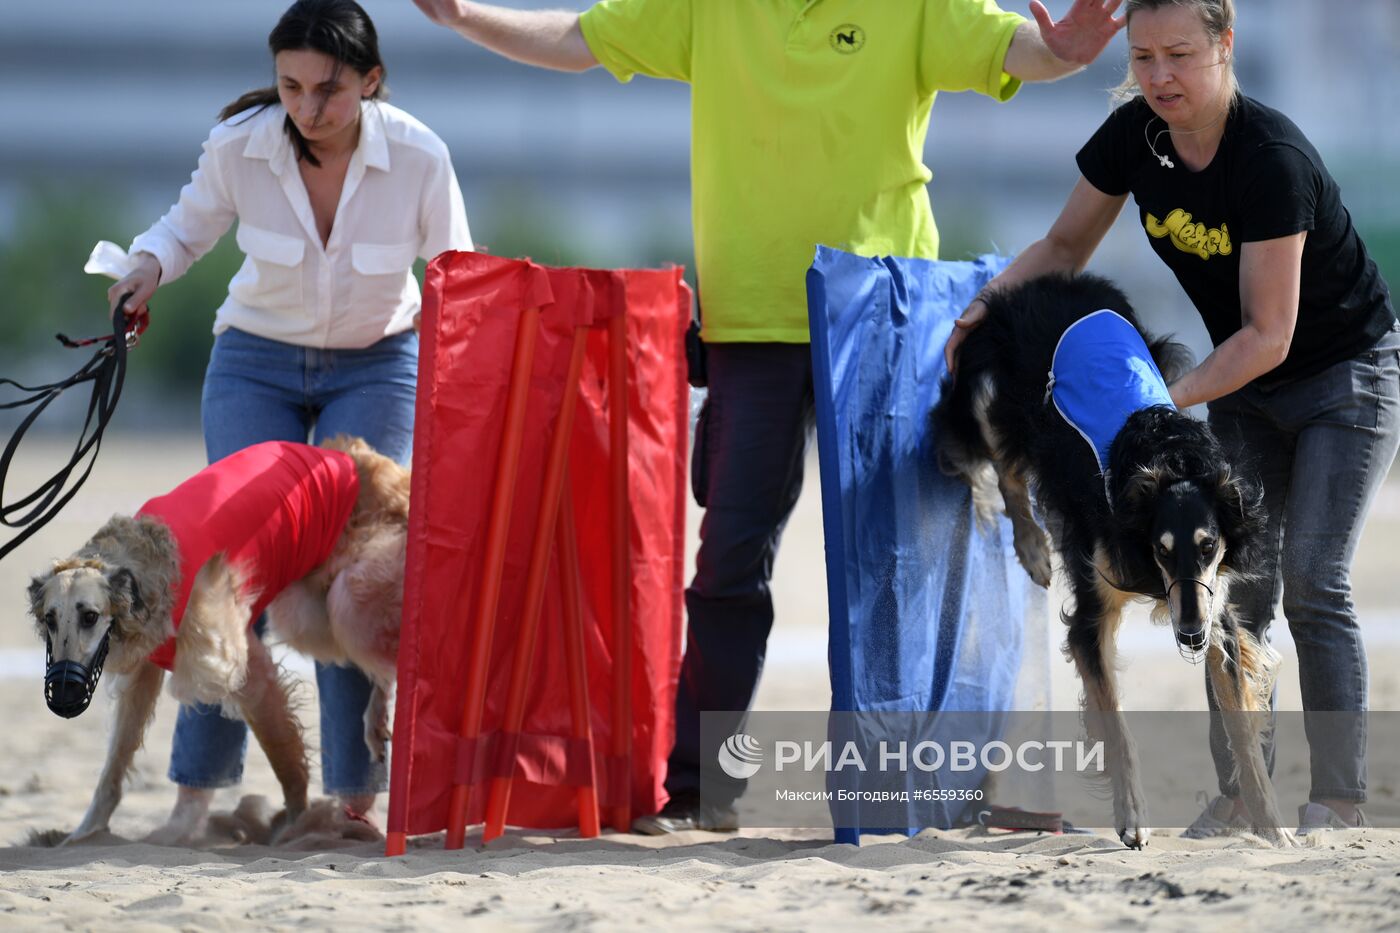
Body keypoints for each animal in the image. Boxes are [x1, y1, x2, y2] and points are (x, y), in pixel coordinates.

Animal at [27, 431, 408, 840]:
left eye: (90, 616)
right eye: (50, 619)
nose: (63, 694)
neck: (151, 567)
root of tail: (357, 457)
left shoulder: (246, 668)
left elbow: (286, 759)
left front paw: (297, 826)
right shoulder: (145, 672)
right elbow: (115, 764)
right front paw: (83, 834)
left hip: (345, 600)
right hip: (310, 610)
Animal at [940, 273, 1288, 846]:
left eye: (1209, 546)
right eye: (1159, 549)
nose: (1190, 635)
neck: (1168, 463)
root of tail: (1044, 281)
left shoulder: (1217, 609)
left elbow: (1240, 725)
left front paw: (1273, 829)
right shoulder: (1090, 611)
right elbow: (1118, 729)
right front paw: (1132, 819)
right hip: (989, 388)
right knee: (1006, 465)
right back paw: (1032, 547)